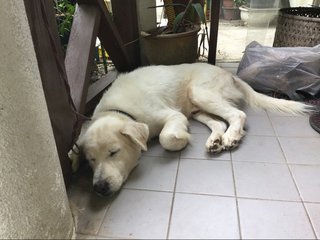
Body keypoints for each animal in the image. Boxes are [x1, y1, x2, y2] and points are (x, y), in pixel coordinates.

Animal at [69, 62, 312, 196]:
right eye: (90, 160)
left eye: (114, 152)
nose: (99, 188)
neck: (118, 109)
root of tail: (230, 74)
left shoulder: (171, 115)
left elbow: (166, 137)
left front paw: (181, 138)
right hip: (197, 108)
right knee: (220, 122)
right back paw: (216, 141)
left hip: (200, 93)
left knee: (237, 115)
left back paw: (231, 137)